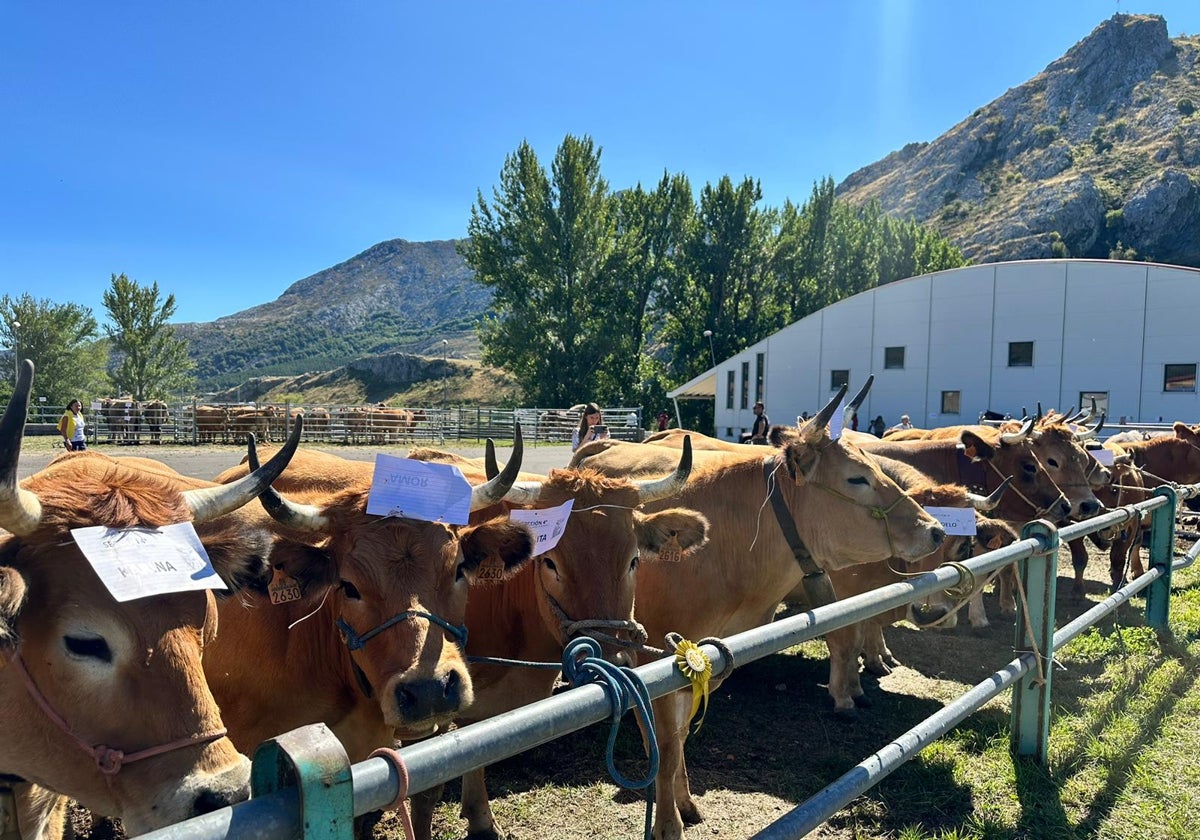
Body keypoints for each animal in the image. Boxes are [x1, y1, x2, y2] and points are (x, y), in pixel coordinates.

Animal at [571, 386, 945, 840]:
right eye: (857, 478)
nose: (935, 529)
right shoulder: (654, 656)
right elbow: (666, 740)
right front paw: (667, 823)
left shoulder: (705, 658)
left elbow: (678, 735)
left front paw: (683, 800)